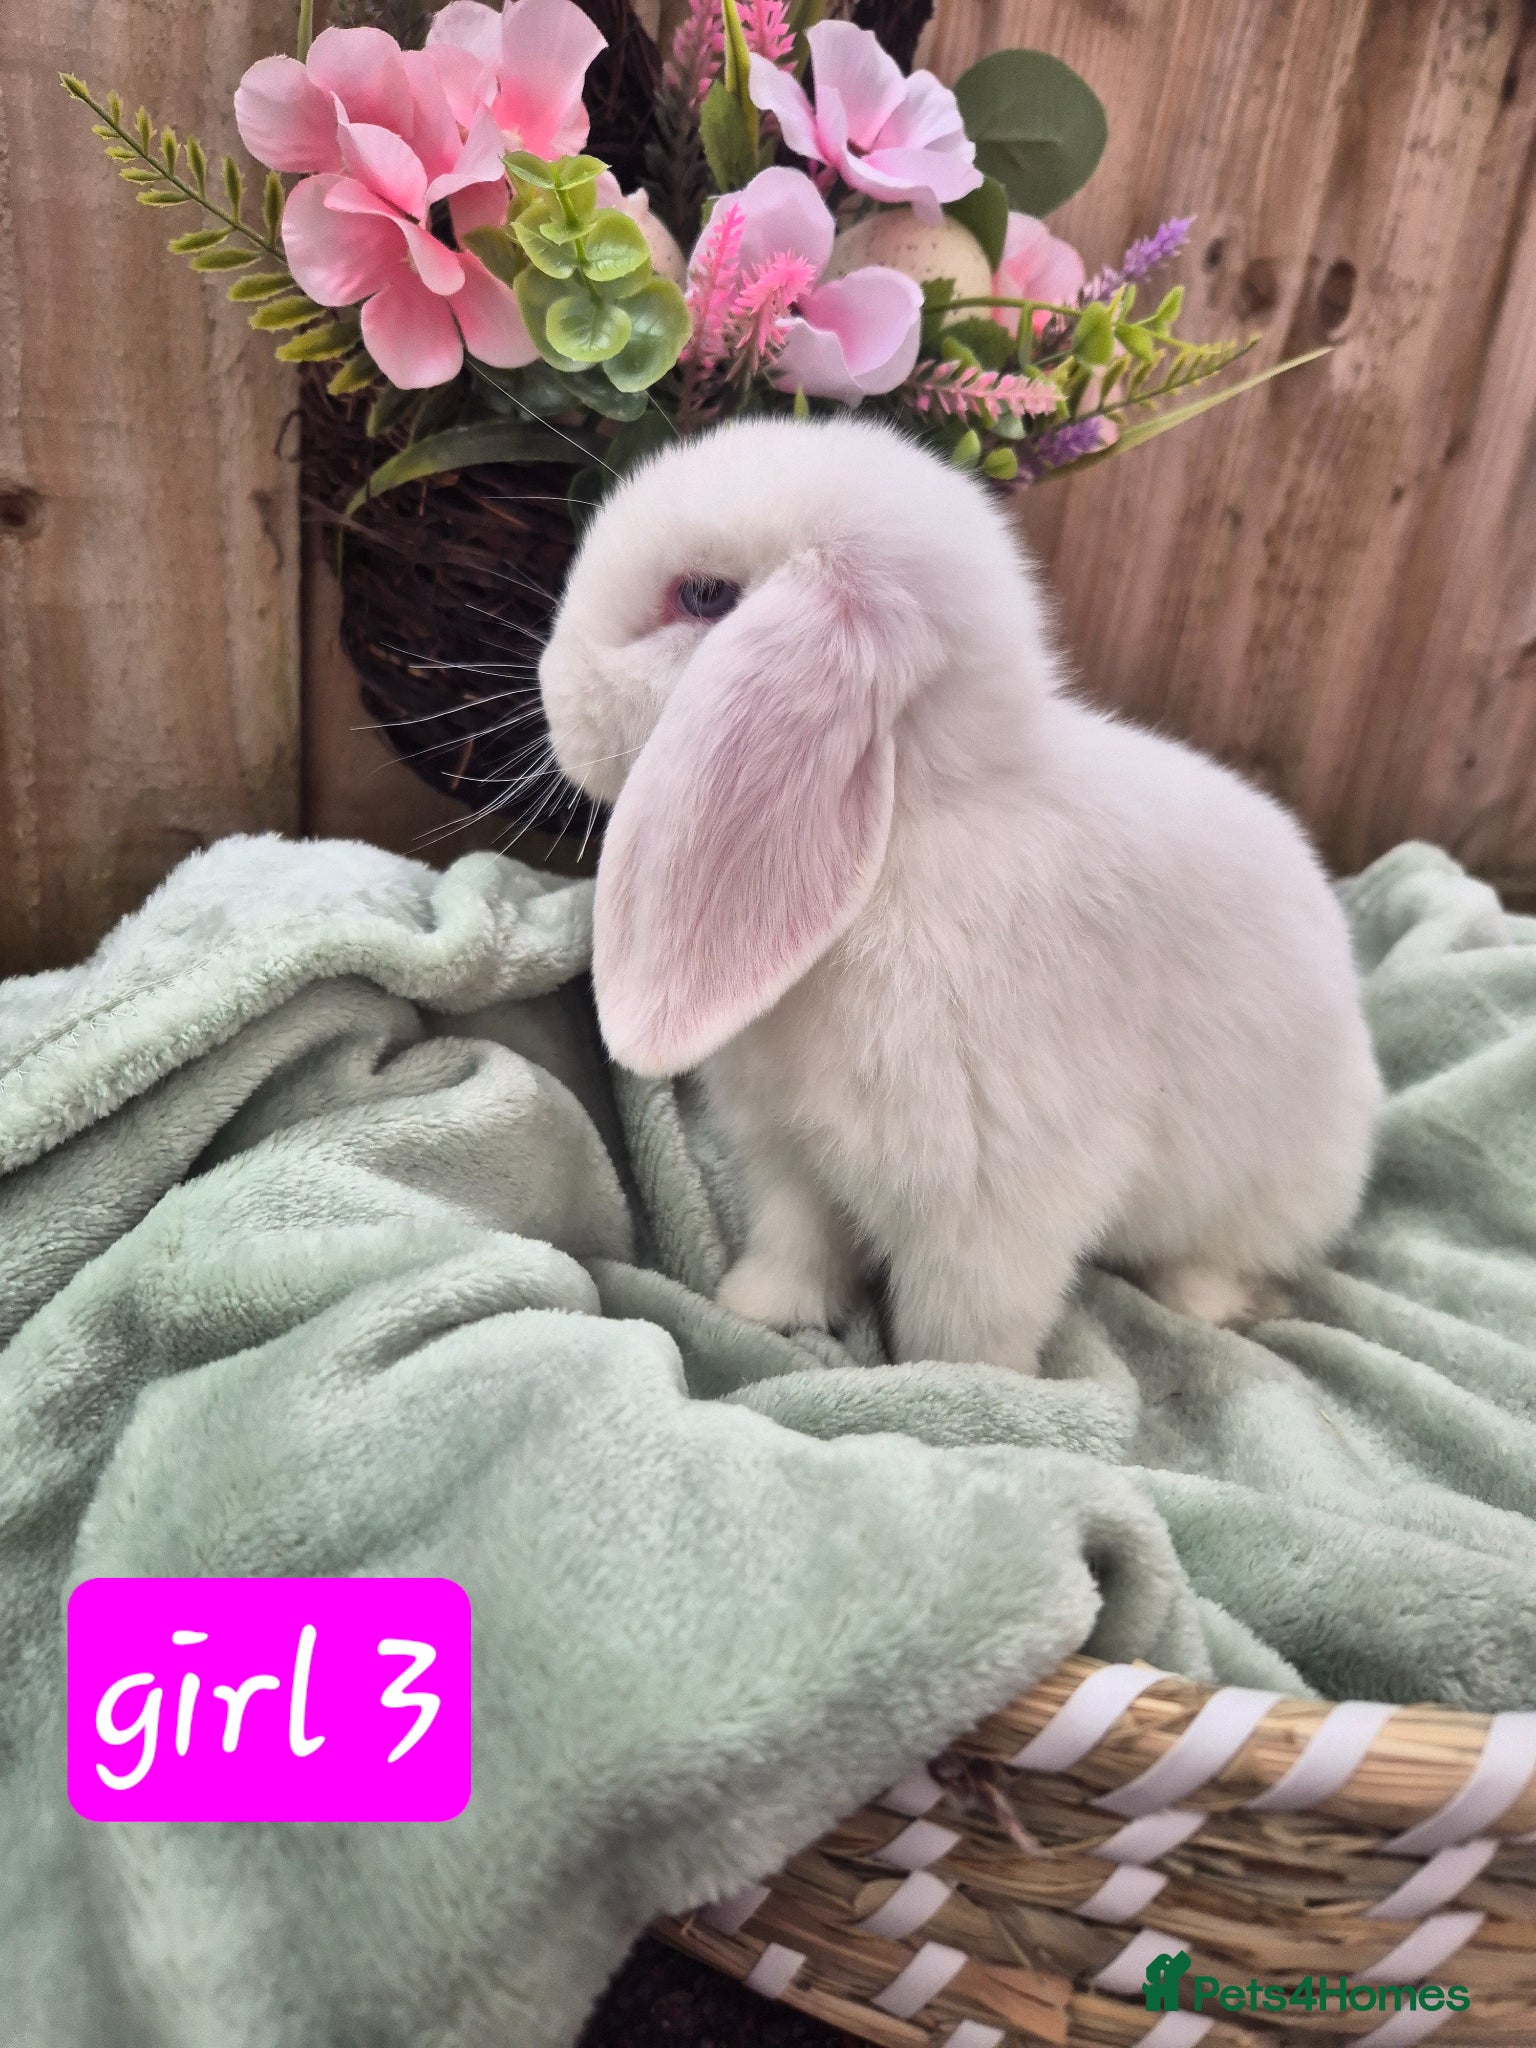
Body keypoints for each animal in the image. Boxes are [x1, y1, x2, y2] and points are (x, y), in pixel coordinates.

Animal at [538, 416, 1383, 1373]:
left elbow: (964, 1324)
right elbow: (799, 1246)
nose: (552, 694)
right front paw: (758, 1310)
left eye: (705, 596)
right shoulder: (795, 1161)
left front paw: (957, 1386)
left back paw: (1212, 1303)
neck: (899, 841)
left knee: (1221, 1259)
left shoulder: (991, 1206)